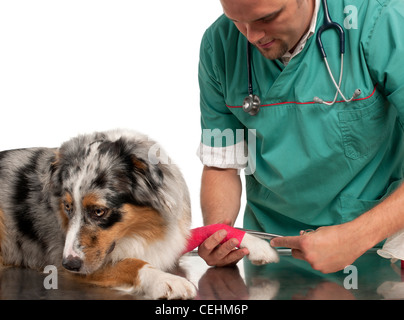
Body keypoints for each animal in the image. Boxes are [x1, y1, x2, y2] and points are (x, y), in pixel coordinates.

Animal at [0, 129, 278, 298]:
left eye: (99, 211)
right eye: (67, 207)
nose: (71, 263)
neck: (137, 231)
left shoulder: (173, 236)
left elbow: (214, 228)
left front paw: (257, 244)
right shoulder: (67, 260)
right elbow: (131, 263)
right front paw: (168, 281)